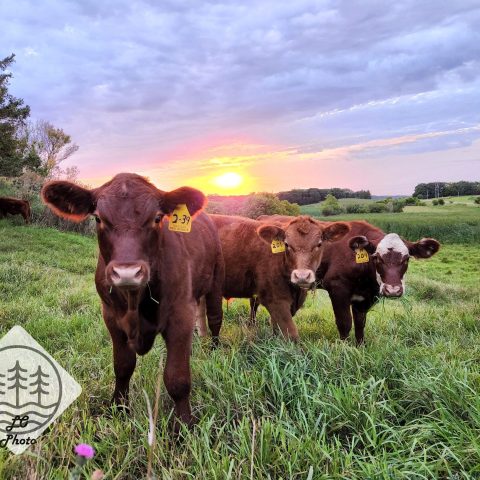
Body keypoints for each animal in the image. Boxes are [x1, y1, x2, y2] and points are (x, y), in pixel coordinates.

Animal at [42, 172, 224, 428]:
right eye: (98, 218)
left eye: (157, 218)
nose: (127, 272)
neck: (134, 301)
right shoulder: (110, 315)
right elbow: (123, 366)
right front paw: (118, 409)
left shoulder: (180, 314)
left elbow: (177, 378)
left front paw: (183, 427)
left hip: (216, 278)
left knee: (215, 317)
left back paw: (213, 350)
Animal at [202, 214, 348, 342]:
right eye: (287, 244)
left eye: (319, 244)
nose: (301, 276)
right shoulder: (276, 299)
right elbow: (291, 335)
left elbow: (276, 328)